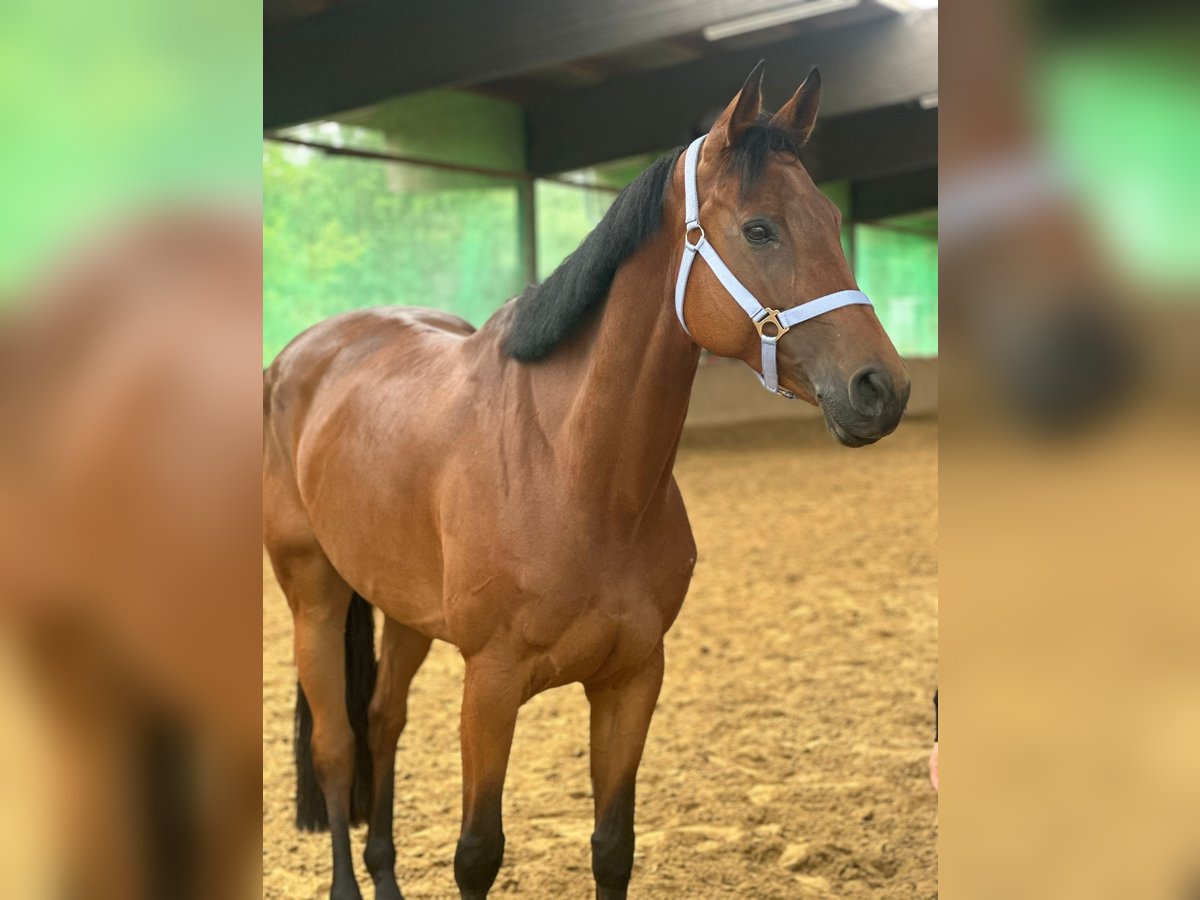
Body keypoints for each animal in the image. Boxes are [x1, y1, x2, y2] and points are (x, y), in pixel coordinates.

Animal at [262, 65, 907, 900]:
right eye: (761, 228)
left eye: (833, 219)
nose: (882, 388)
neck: (576, 475)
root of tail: (302, 355)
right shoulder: (491, 686)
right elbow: (478, 853)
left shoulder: (631, 679)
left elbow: (612, 846)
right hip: (313, 593)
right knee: (338, 745)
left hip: (404, 613)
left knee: (381, 723)